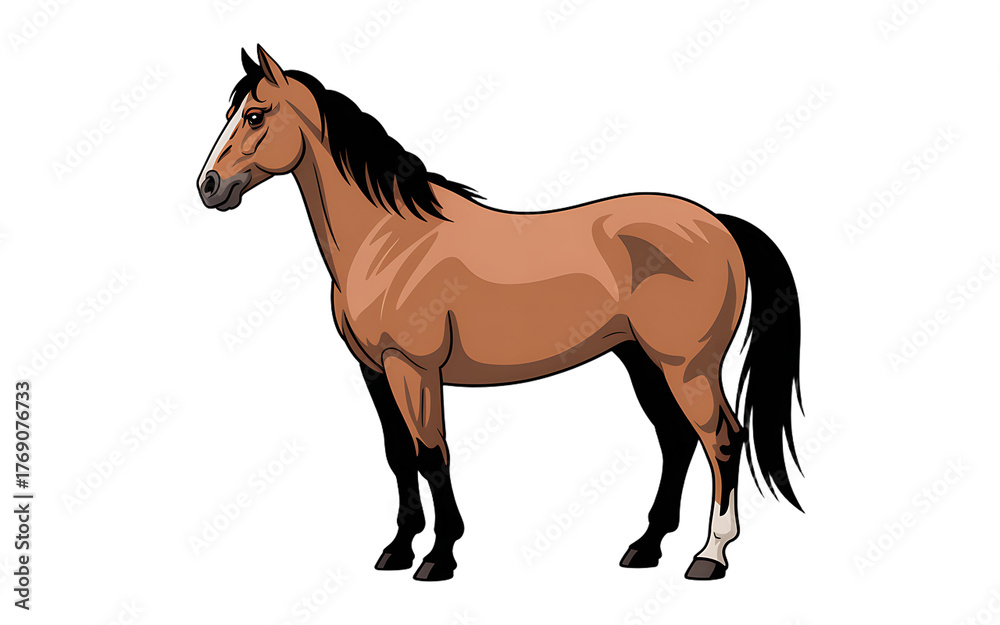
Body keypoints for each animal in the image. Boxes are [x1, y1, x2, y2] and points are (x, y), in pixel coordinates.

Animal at [197, 46, 805, 582]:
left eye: (254, 115)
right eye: (229, 114)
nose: (209, 187)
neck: (390, 238)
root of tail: (718, 223)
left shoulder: (414, 367)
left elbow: (431, 454)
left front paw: (439, 557)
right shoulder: (374, 370)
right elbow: (398, 455)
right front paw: (397, 549)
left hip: (687, 367)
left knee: (722, 440)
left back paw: (710, 556)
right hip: (641, 360)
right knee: (677, 439)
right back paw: (645, 545)